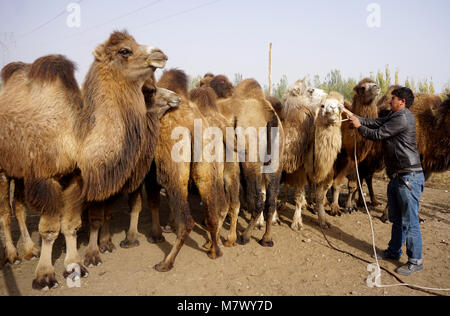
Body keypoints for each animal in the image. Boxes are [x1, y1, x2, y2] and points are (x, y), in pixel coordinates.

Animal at [0, 30, 171, 290]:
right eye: (124, 50)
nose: (160, 53)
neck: (76, 136)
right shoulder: (46, 178)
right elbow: (49, 229)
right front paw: (45, 276)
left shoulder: (77, 177)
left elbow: (70, 224)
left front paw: (75, 266)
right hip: (2, 169)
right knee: (4, 213)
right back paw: (11, 255)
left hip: (19, 171)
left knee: (18, 207)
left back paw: (29, 250)